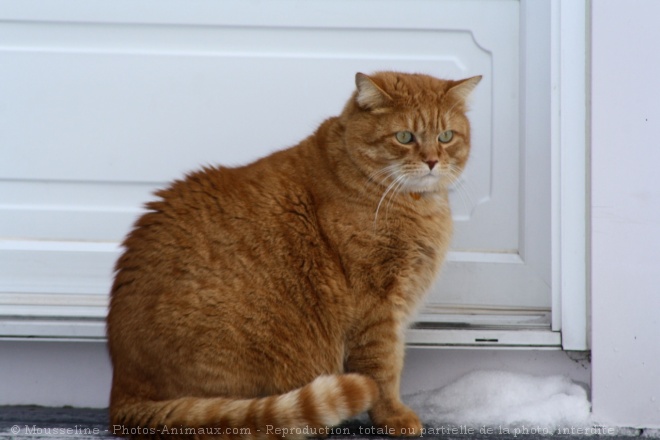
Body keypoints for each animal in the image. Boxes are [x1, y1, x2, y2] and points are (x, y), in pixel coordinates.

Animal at [108, 71, 480, 436]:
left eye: (446, 136)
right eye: (404, 137)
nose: (432, 161)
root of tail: (121, 392)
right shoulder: (377, 306)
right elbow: (383, 370)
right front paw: (394, 417)